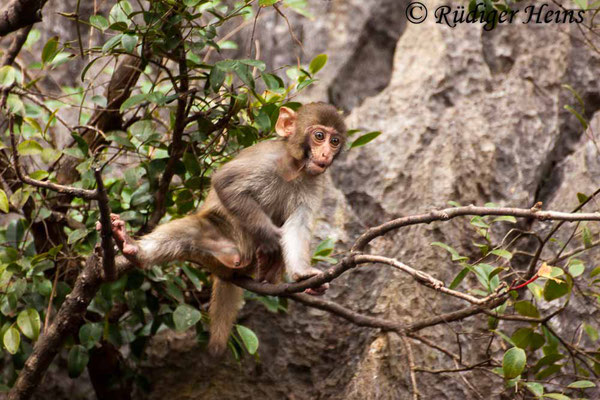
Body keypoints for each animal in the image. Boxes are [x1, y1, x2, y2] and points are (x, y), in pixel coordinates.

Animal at [103, 101, 346, 354]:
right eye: (319, 136)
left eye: (334, 141)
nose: (326, 154)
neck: (294, 168)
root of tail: (231, 263)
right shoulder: (266, 159)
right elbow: (226, 183)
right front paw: (271, 238)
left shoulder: (314, 182)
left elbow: (297, 227)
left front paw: (302, 273)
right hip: (219, 238)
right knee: (191, 231)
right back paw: (133, 249)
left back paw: (266, 273)